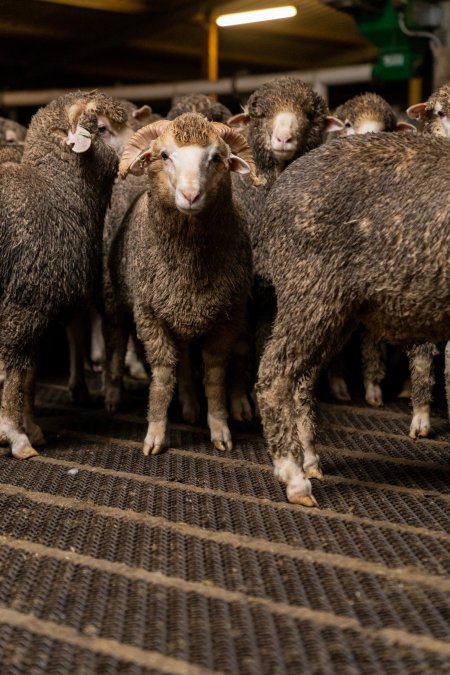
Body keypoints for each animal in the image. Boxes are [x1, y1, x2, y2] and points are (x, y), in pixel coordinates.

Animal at [0, 91, 128, 460]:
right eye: (103, 128)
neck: (55, 192)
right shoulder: (25, 303)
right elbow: (17, 373)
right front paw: (16, 436)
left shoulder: (37, 306)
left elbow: (28, 373)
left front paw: (30, 426)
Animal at [256, 129, 450, 504]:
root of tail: (278, 191)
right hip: (310, 291)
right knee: (274, 375)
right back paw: (294, 478)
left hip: (337, 312)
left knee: (302, 379)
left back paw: (310, 459)